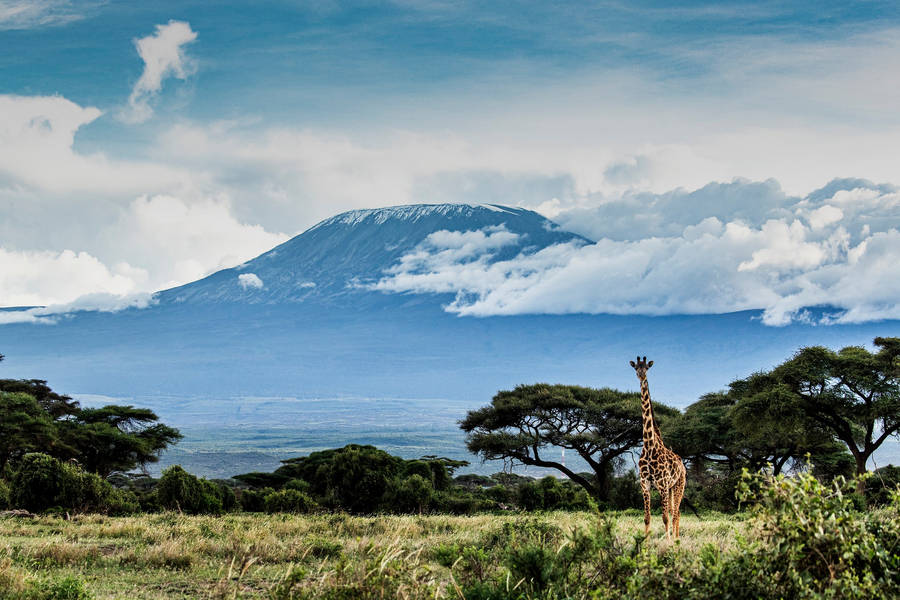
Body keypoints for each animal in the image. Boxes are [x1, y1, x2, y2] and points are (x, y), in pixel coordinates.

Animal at [630, 356, 686, 540]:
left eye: (647, 368)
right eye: (636, 368)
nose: (641, 375)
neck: (649, 446)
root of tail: (683, 465)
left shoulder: (662, 485)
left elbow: (665, 518)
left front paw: (668, 543)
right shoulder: (645, 485)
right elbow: (647, 518)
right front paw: (645, 543)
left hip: (679, 485)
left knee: (675, 513)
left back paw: (676, 539)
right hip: (671, 488)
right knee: (675, 511)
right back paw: (675, 537)